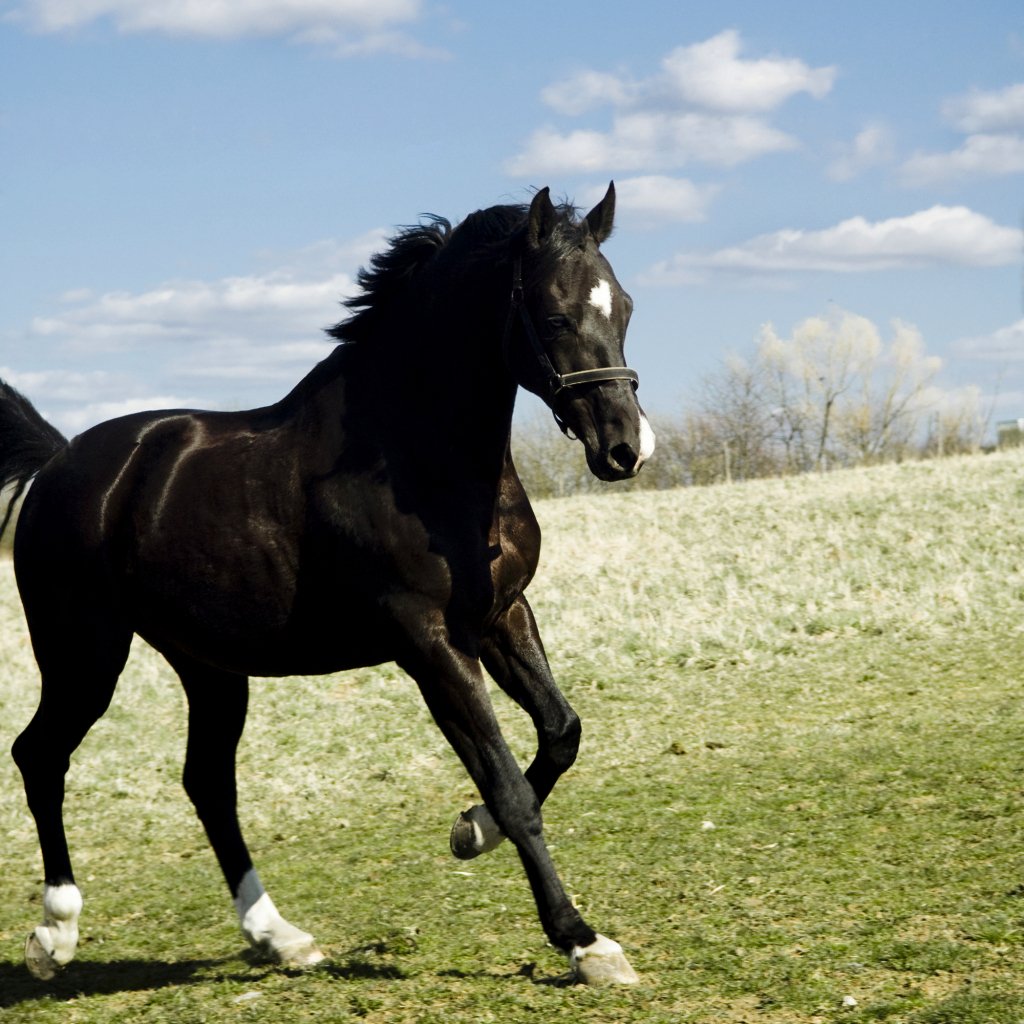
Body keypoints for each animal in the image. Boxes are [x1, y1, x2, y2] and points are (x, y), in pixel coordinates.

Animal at [0, 184, 651, 983]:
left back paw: (280, 937)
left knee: (206, 782)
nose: (624, 449)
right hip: (83, 653)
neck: (412, 453)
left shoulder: (503, 615)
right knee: (40, 755)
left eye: (624, 306)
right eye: (555, 314)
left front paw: (469, 832)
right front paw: (584, 942)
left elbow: (560, 735)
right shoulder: (427, 642)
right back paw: (54, 933)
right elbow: (509, 787)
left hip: (209, 668)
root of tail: (60, 464)